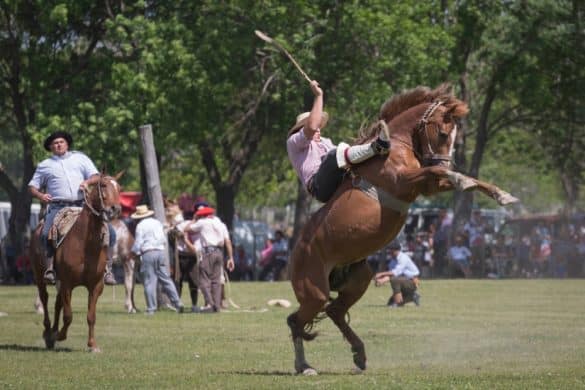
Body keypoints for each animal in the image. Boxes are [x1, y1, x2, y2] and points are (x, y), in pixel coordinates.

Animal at [30, 172, 122, 352]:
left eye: (119, 188)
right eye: (103, 185)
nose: (115, 209)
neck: (85, 244)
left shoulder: (95, 286)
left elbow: (91, 316)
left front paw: (92, 345)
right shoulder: (67, 284)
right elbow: (68, 315)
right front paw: (60, 335)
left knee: (57, 303)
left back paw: (52, 332)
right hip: (40, 275)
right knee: (45, 298)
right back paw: (48, 332)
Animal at [286, 84, 516, 374]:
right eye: (443, 133)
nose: (444, 162)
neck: (397, 146)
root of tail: (295, 253)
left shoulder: (426, 185)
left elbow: (464, 179)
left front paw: (503, 195)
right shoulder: (405, 181)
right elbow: (441, 174)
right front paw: (458, 177)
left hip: (358, 279)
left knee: (333, 312)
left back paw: (359, 354)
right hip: (314, 291)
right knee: (296, 321)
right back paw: (304, 365)